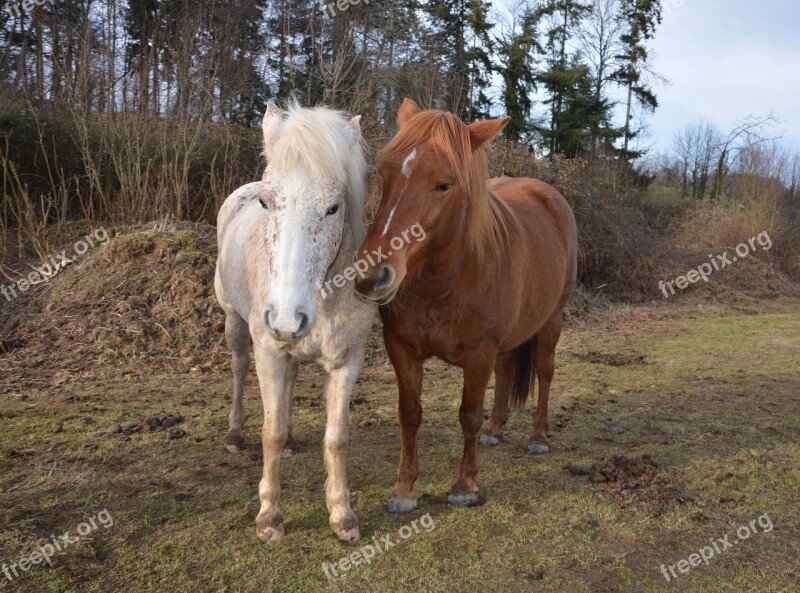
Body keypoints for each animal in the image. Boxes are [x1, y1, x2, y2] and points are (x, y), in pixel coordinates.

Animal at [212, 103, 376, 540]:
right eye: (266, 203)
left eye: (334, 207)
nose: (286, 318)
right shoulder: (269, 352)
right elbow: (271, 432)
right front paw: (269, 516)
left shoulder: (346, 361)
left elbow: (337, 438)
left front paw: (342, 514)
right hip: (234, 323)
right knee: (238, 369)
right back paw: (234, 434)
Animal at [354, 99, 576, 512]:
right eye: (383, 172)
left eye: (444, 184)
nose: (370, 275)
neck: (444, 282)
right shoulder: (401, 349)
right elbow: (409, 414)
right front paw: (404, 489)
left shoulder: (478, 353)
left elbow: (469, 415)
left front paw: (465, 486)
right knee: (505, 370)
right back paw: (496, 429)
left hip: (552, 320)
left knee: (544, 372)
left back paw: (539, 437)